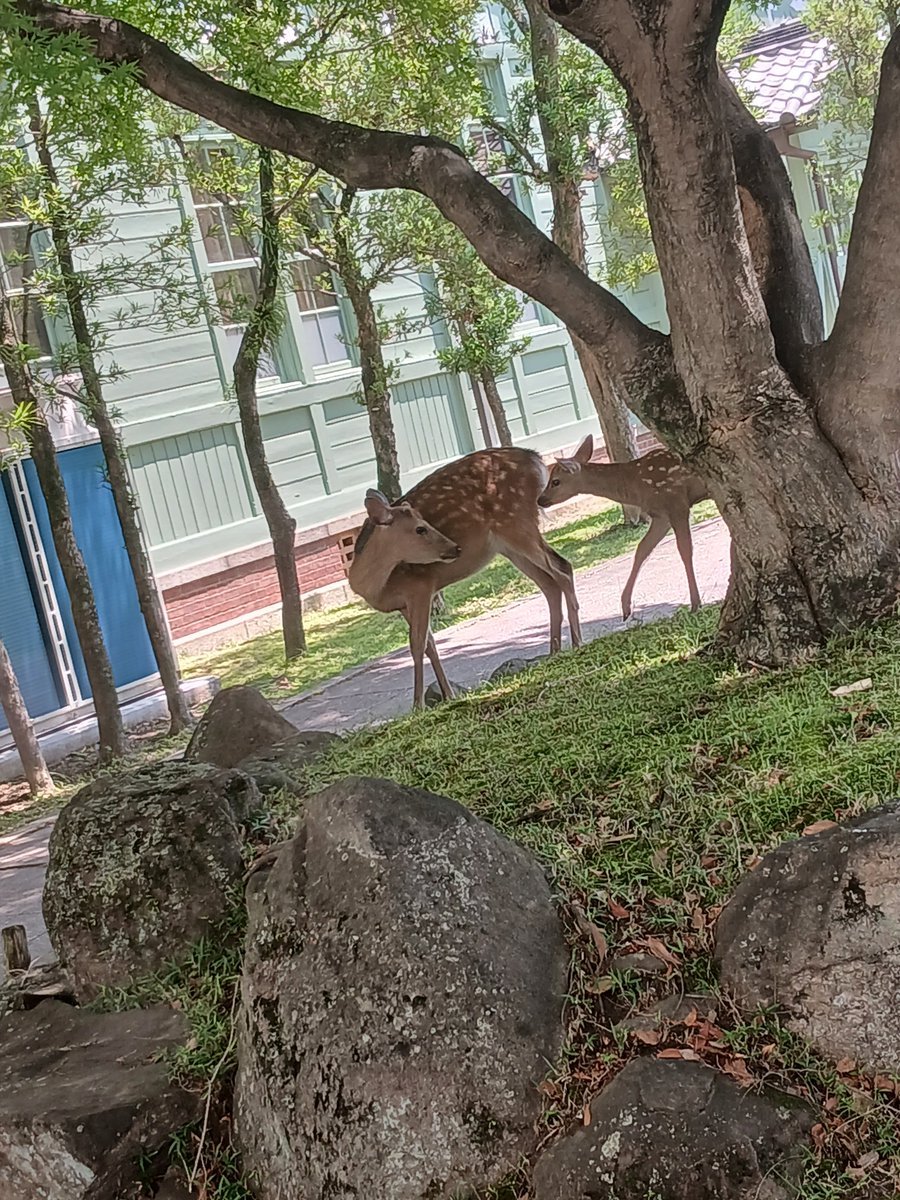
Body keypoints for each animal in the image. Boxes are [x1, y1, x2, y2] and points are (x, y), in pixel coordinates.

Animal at [349, 447, 582, 709]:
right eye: (420, 528)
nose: (455, 547)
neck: (373, 587)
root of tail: (536, 459)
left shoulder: (420, 586)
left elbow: (417, 644)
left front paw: (418, 705)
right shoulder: (403, 604)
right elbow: (430, 644)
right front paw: (449, 695)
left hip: (516, 522)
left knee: (562, 568)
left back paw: (576, 643)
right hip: (508, 545)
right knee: (549, 584)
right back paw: (554, 651)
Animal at [537, 434, 711, 621]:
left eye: (555, 481)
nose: (540, 499)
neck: (636, 485)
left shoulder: (677, 503)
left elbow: (685, 549)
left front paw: (696, 603)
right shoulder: (661, 515)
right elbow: (642, 549)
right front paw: (625, 608)